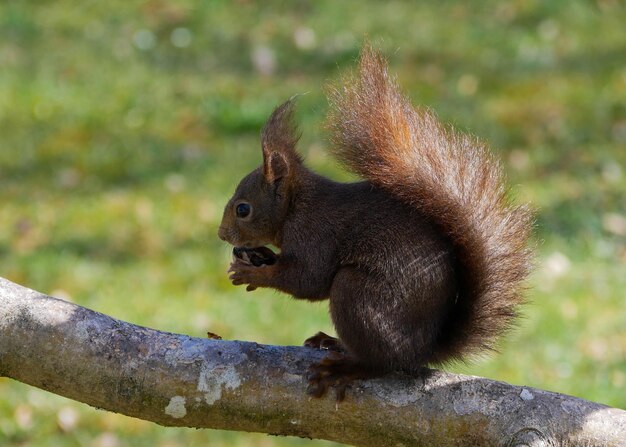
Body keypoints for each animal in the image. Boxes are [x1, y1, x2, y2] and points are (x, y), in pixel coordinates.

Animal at [217, 46, 528, 402]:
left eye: (243, 209)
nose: (221, 234)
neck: (297, 206)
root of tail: (422, 350)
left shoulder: (316, 235)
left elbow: (307, 280)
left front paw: (252, 273)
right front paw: (261, 257)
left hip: (359, 297)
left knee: (380, 362)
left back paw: (346, 367)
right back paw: (334, 343)